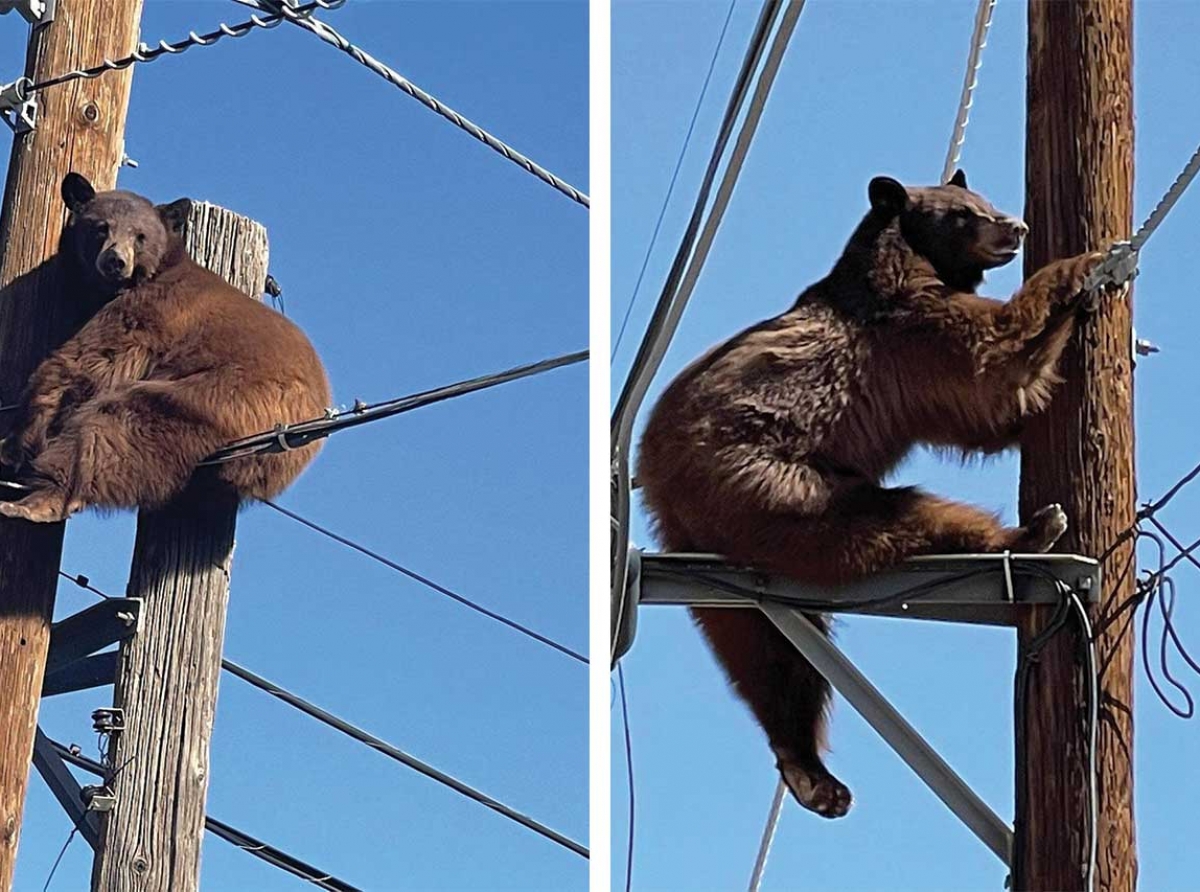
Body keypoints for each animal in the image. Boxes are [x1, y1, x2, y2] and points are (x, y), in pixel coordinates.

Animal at [0, 172, 333, 523]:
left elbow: (88, 362)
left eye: (140, 236)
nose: (116, 261)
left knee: (117, 425)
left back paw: (40, 499)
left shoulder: (149, 312)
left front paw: (14, 442)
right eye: (101, 227)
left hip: (227, 398)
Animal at [638, 169, 1104, 821]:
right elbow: (989, 364)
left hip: (725, 552)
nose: (1016, 226)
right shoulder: (906, 331)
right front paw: (1084, 267)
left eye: (983, 201)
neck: (903, 259)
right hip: (772, 482)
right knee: (891, 518)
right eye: (964, 213)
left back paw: (810, 772)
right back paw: (1033, 530)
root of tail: (656, 472)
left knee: (763, 653)